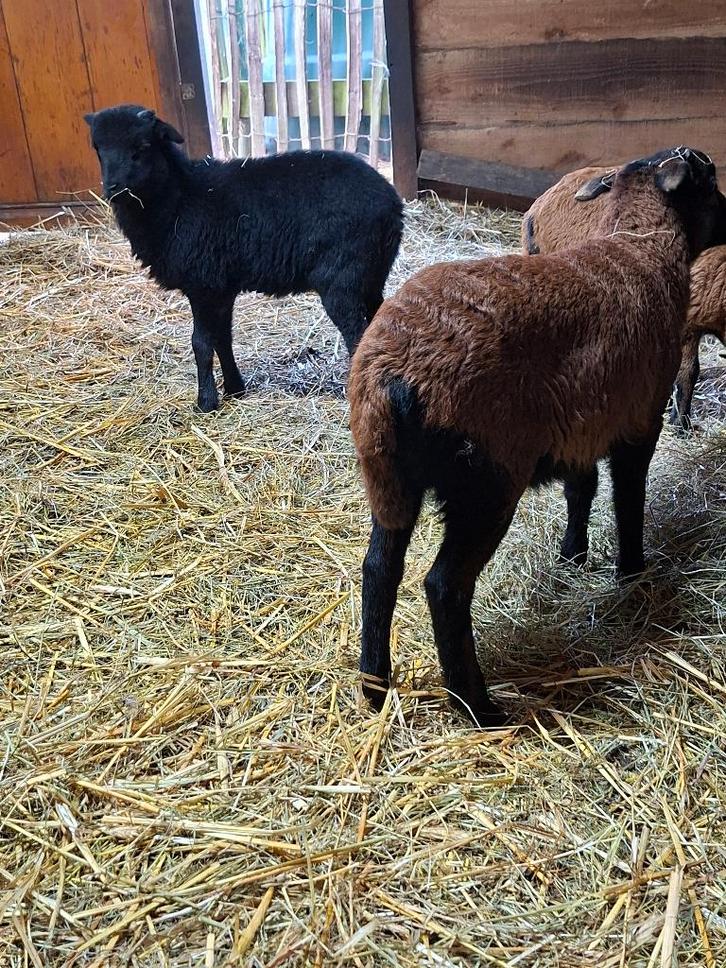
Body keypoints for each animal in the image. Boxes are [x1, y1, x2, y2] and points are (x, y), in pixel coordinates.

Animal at [84, 104, 403, 412]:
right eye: (97, 148)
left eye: (142, 145)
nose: (113, 188)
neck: (179, 200)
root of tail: (391, 201)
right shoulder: (221, 288)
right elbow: (222, 339)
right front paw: (234, 388)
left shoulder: (202, 285)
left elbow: (201, 343)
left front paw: (206, 402)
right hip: (373, 272)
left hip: (341, 277)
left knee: (356, 333)